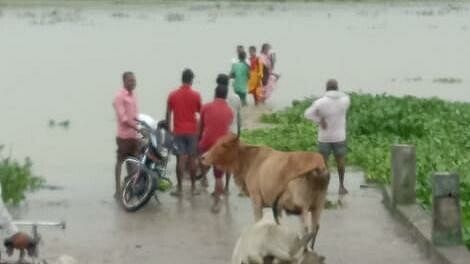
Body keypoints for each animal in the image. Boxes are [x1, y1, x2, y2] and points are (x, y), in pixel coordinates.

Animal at [199, 135, 330, 249]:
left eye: (224, 145)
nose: (203, 157)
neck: (250, 159)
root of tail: (319, 164)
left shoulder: (256, 198)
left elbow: (258, 222)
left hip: (303, 207)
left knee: (306, 230)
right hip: (318, 205)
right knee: (315, 228)